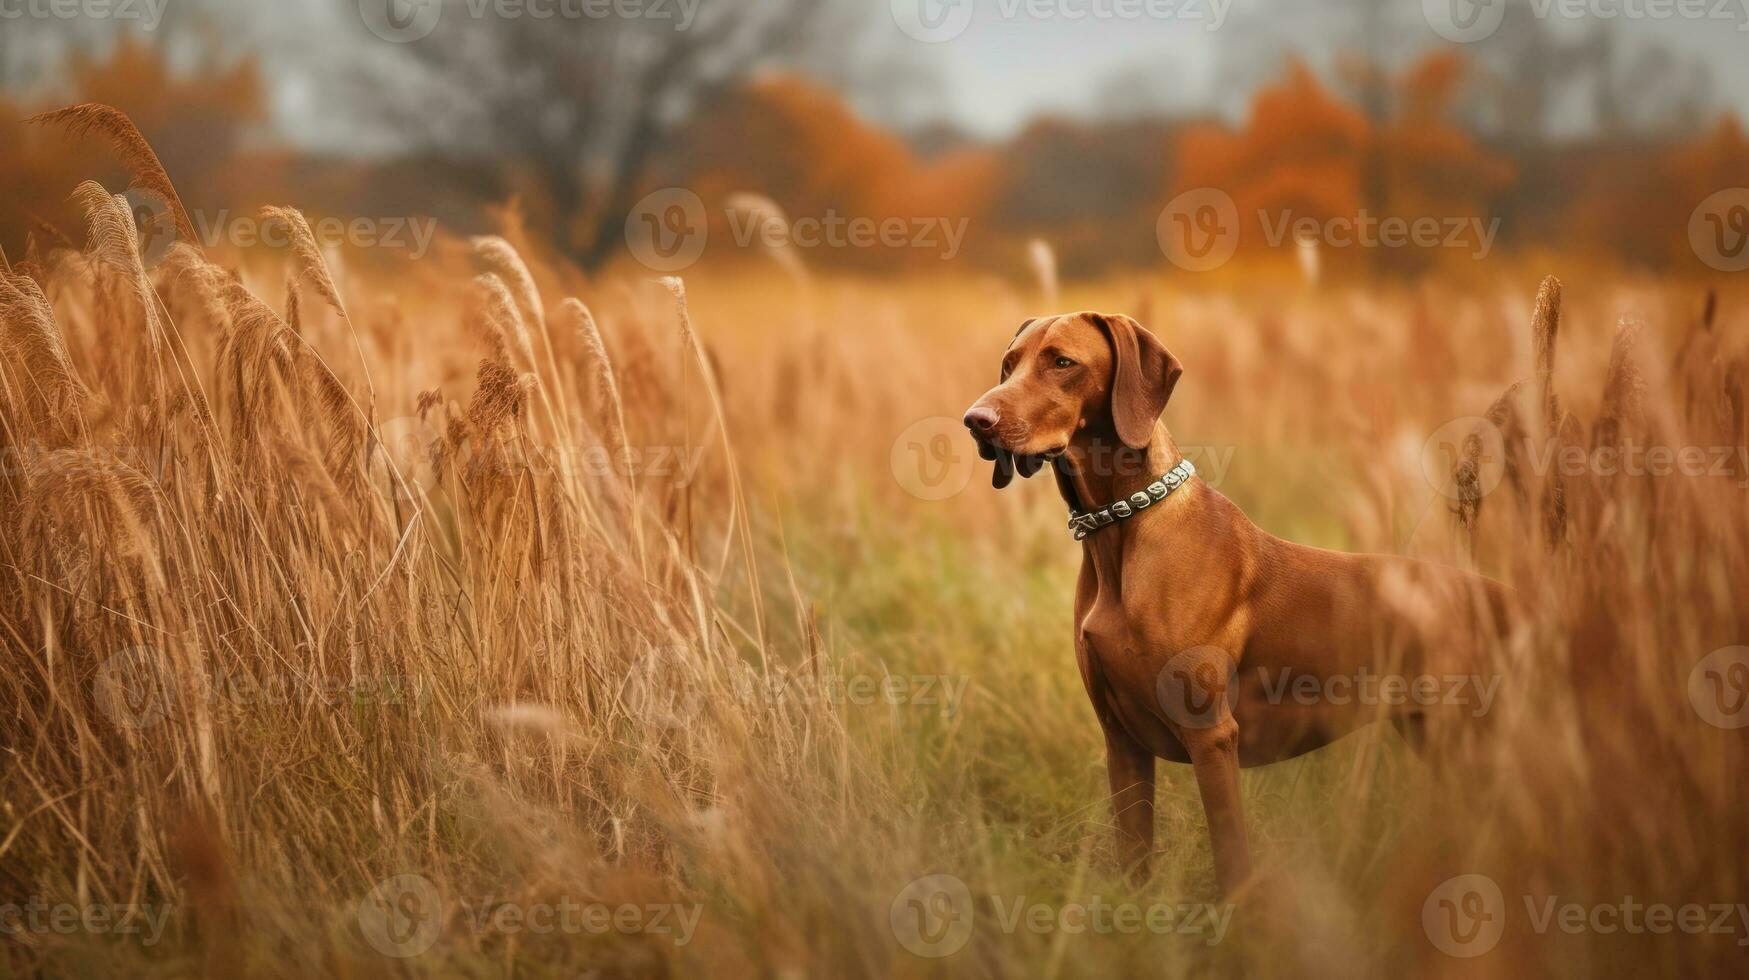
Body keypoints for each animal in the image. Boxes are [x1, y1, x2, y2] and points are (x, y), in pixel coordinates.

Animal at [965, 311, 1511, 896]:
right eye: (1009, 364)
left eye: (1062, 362)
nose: (975, 421)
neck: (1119, 529)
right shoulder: (1122, 741)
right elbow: (1133, 858)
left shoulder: (1210, 736)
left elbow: (1231, 856)